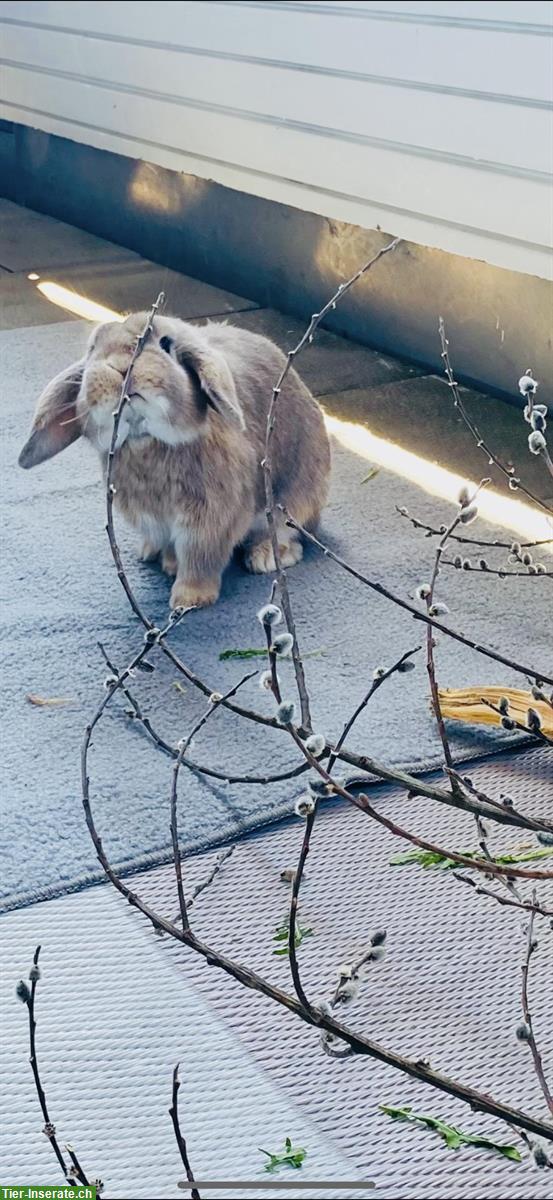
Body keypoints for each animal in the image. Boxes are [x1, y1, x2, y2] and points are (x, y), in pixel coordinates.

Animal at [19, 312, 328, 609]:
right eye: (93, 349)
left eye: (166, 344)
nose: (121, 368)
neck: (146, 440)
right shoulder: (155, 519)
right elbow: (172, 547)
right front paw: (170, 565)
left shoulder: (209, 521)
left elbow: (199, 560)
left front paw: (189, 600)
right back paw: (148, 551)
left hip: (295, 499)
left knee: (288, 531)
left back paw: (266, 557)